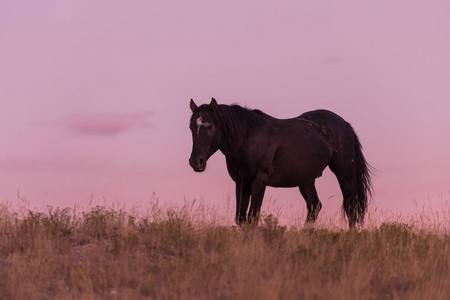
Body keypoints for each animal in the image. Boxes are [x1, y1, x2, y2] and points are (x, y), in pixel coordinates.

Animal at [187, 98, 372, 227]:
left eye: (210, 126)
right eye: (191, 127)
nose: (196, 162)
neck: (247, 139)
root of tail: (344, 124)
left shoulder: (259, 182)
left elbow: (253, 216)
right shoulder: (241, 182)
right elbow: (241, 218)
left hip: (345, 174)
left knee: (351, 208)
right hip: (306, 181)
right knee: (315, 206)